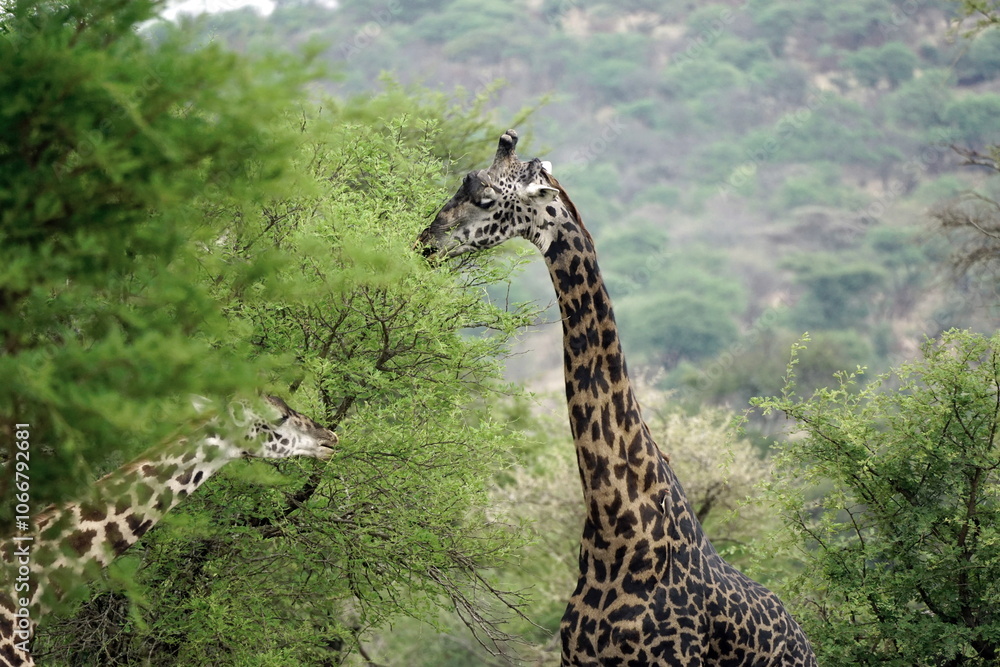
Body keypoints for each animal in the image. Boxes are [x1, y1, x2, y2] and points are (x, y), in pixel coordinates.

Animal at [418, 130, 817, 666]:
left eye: (483, 198)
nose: (425, 241)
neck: (618, 531)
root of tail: (805, 641)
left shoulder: (670, 659)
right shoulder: (575, 657)